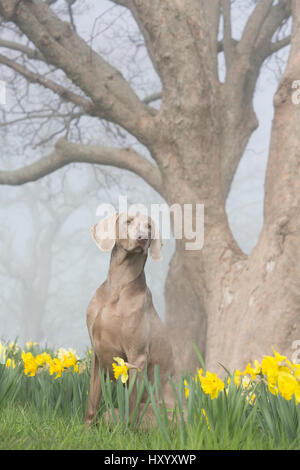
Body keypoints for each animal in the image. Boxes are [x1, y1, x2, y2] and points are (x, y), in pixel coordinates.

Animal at [85, 211, 176, 424]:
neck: (119, 286)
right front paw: (86, 428)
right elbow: (92, 402)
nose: (142, 238)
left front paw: (127, 430)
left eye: (149, 226)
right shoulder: (97, 353)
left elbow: (130, 403)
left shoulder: (137, 357)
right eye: (128, 221)